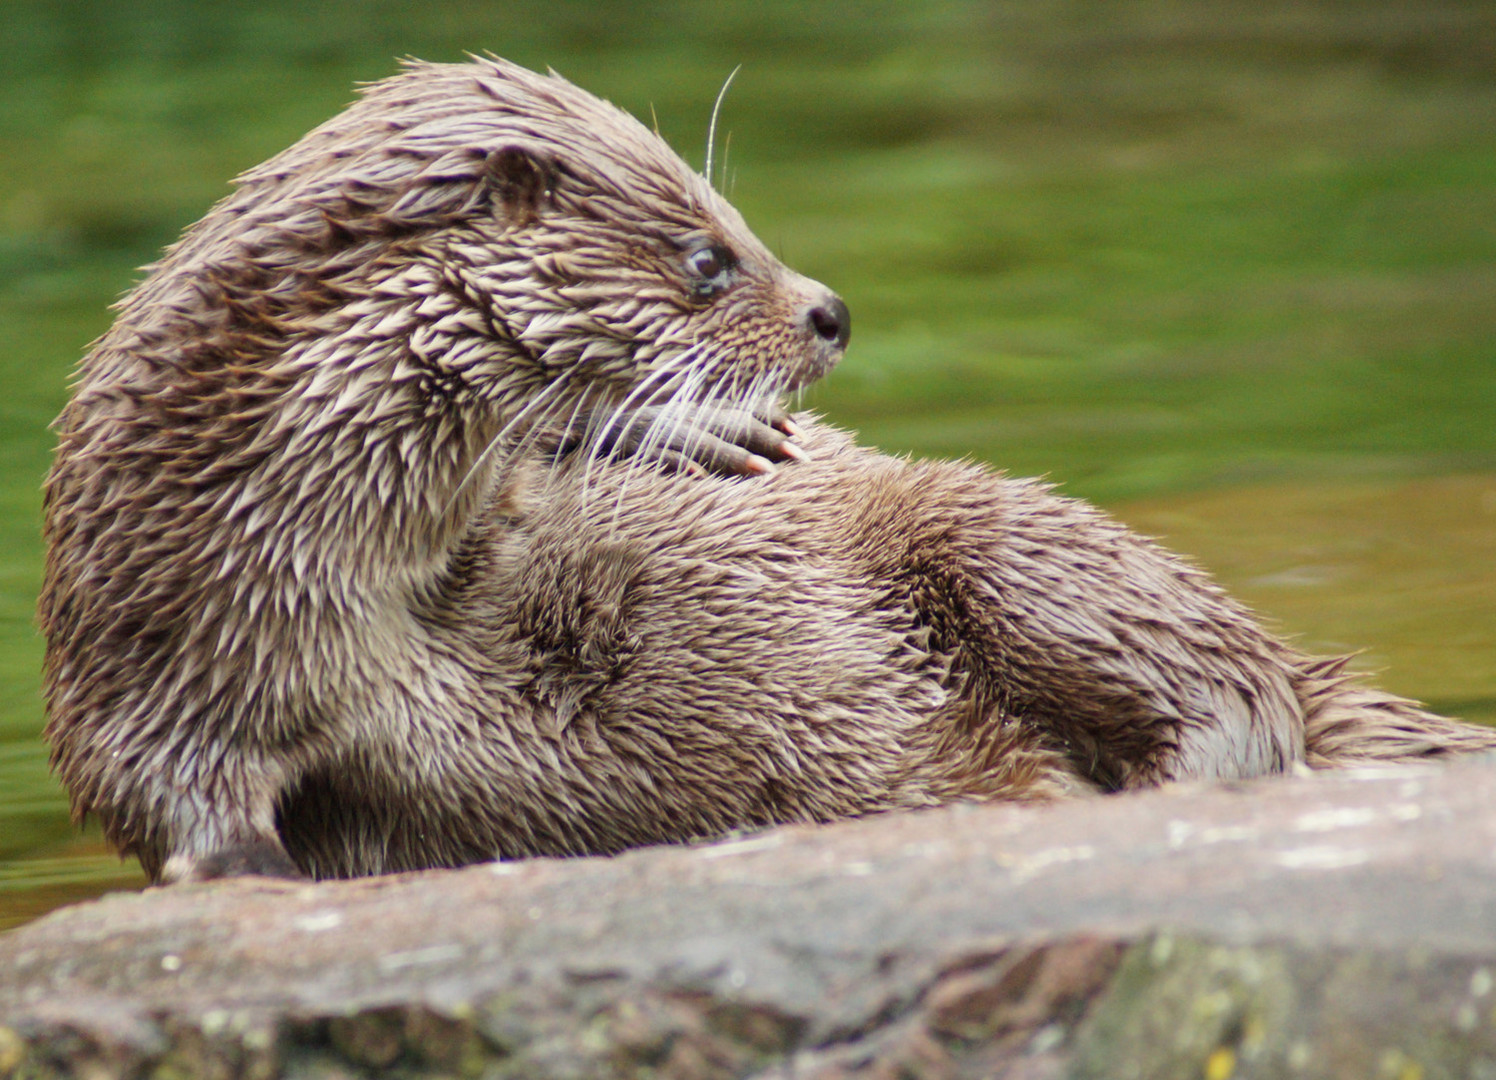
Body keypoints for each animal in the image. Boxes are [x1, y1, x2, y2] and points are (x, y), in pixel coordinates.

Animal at [40, 54, 1496, 879]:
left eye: (735, 223)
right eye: (706, 256)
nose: (831, 310)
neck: (350, 587)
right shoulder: (138, 673)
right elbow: (189, 820)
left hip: (987, 528)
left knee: (1245, 693)